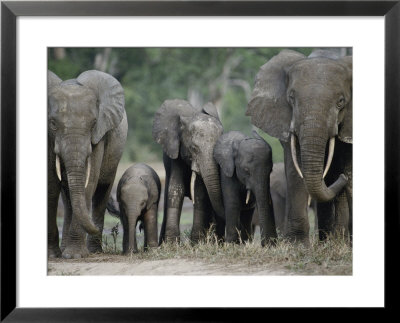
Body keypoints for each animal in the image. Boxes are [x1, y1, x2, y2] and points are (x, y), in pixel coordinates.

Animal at [47, 69, 127, 260]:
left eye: (93, 123)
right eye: (53, 123)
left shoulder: (99, 135)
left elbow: (89, 182)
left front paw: (75, 256)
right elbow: (51, 184)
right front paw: (53, 256)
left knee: (102, 190)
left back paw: (93, 250)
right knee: (68, 196)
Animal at [152, 100, 225, 244]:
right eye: (194, 148)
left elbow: (200, 191)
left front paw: (197, 243)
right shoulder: (176, 151)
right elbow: (176, 188)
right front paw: (171, 243)